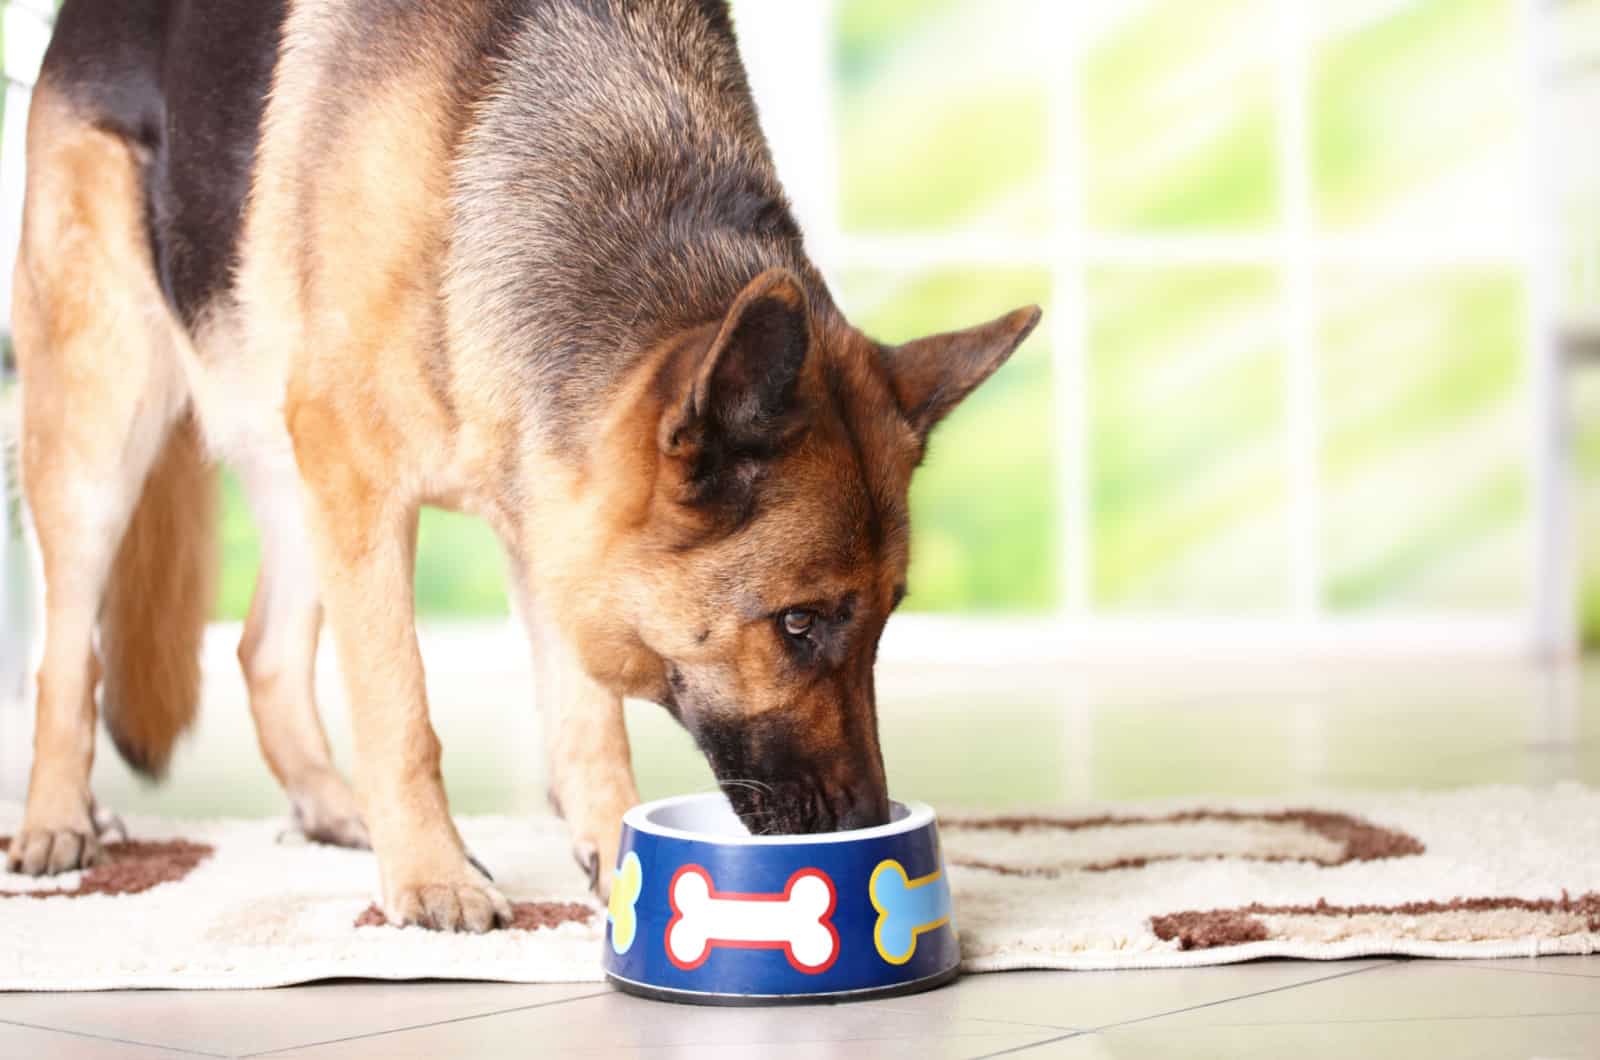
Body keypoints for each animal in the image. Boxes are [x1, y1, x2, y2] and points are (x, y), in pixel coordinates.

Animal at [9, 0, 1036, 928]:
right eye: (797, 623)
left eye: (886, 620)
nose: (866, 824)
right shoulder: (368, 483)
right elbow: (398, 705)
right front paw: (431, 877)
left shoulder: (554, 512)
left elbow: (586, 721)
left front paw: (613, 858)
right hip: (107, 431)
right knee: (65, 654)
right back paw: (58, 821)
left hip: (291, 473)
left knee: (260, 650)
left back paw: (334, 807)